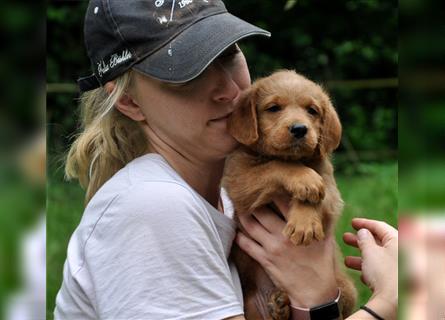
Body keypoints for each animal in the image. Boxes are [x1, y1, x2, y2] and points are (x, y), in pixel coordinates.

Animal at [224, 70, 356, 320]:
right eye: (273, 108)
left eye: (312, 110)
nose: (299, 129)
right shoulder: (239, 179)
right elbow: (276, 166)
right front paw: (304, 180)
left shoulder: (331, 189)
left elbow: (319, 196)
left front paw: (305, 224)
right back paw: (278, 305)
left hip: (347, 288)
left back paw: (280, 304)